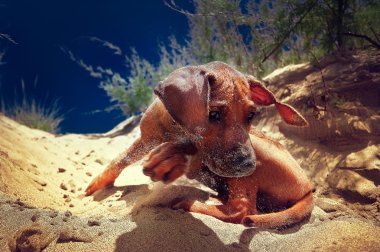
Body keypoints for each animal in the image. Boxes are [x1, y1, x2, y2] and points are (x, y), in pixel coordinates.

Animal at [85, 61, 312, 228]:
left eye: (251, 115)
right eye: (213, 114)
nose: (249, 165)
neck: (177, 129)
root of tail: (308, 190)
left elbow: (191, 151)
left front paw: (173, 158)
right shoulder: (146, 138)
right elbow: (121, 159)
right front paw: (99, 182)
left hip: (255, 153)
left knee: (241, 211)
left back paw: (190, 203)